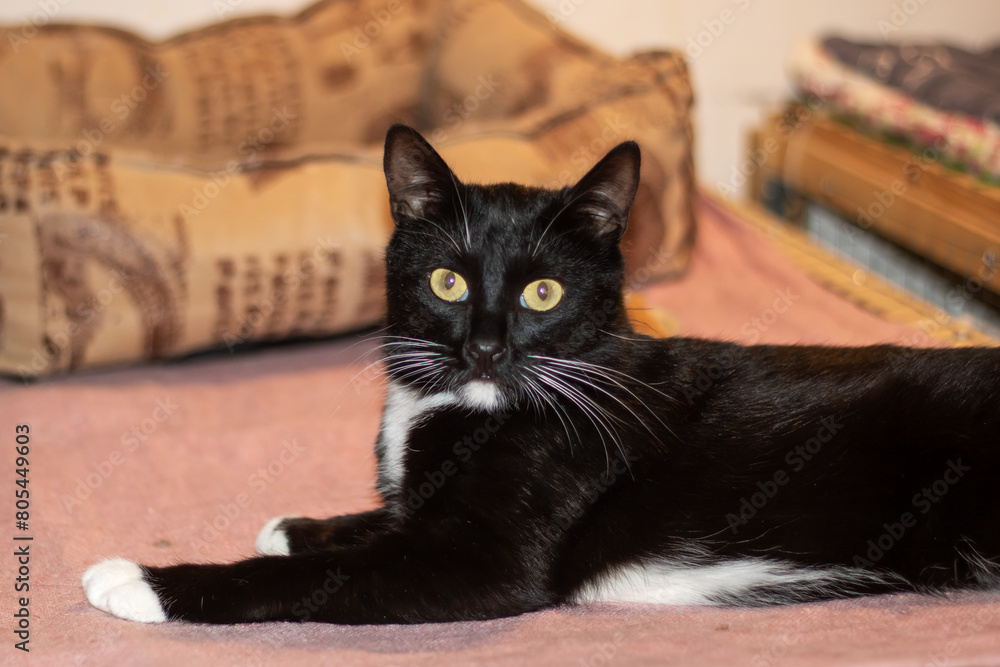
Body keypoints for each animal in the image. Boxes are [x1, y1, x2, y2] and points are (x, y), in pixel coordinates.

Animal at [84, 125, 1000, 628]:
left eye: (542, 292)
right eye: (447, 280)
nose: (487, 346)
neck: (463, 402)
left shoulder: (487, 552)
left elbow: (323, 575)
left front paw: (143, 580)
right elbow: (383, 521)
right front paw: (302, 522)